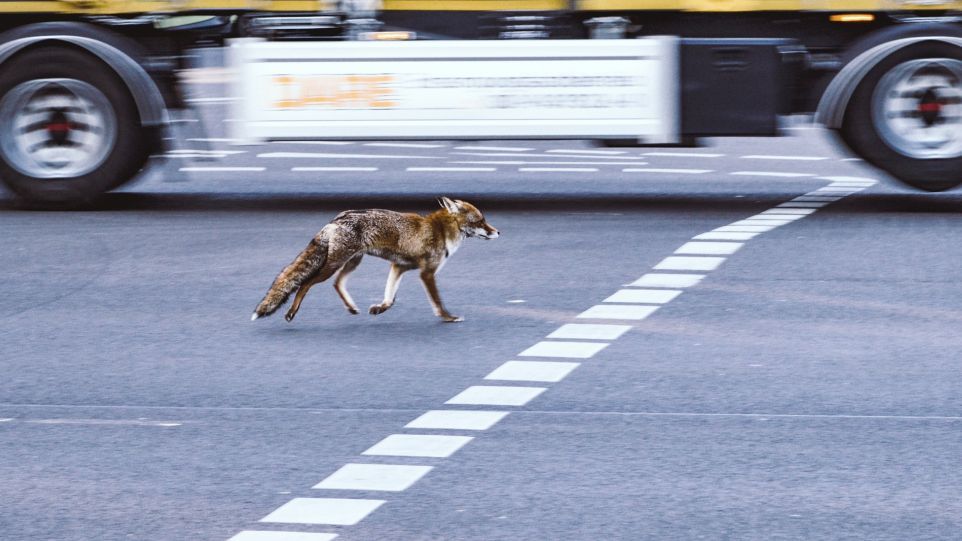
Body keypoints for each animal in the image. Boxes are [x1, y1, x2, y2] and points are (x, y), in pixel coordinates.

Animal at [251, 197, 499, 323]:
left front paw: (380, 308)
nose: (498, 232)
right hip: (332, 266)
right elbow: (437, 301)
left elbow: (390, 298)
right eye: (480, 221)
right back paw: (291, 313)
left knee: (337, 284)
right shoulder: (426, 273)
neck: (441, 230)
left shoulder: (399, 267)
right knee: (304, 284)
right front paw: (448, 317)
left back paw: (351, 308)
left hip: (352, 262)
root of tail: (336, 218)